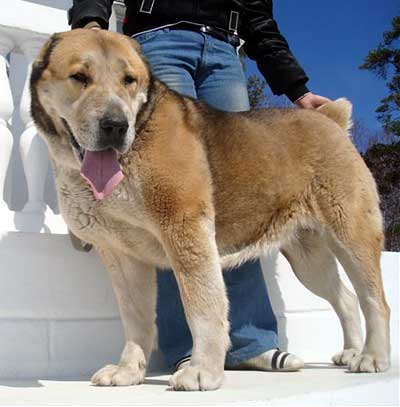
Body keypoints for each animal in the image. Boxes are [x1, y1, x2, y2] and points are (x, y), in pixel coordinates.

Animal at [28, 29, 390, 392]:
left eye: (128, 80)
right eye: (79, 77)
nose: (116, 125)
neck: (137, 138)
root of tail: (329, 119)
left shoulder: (186, 231)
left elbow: (202, 308)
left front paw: (203, 371)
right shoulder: (123, 256)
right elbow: (136, 319)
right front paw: (128, 371)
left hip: (351, 235)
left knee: (374, 299)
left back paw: (372, 357)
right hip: (309, 261)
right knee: (346, 299)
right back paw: (351, 351)